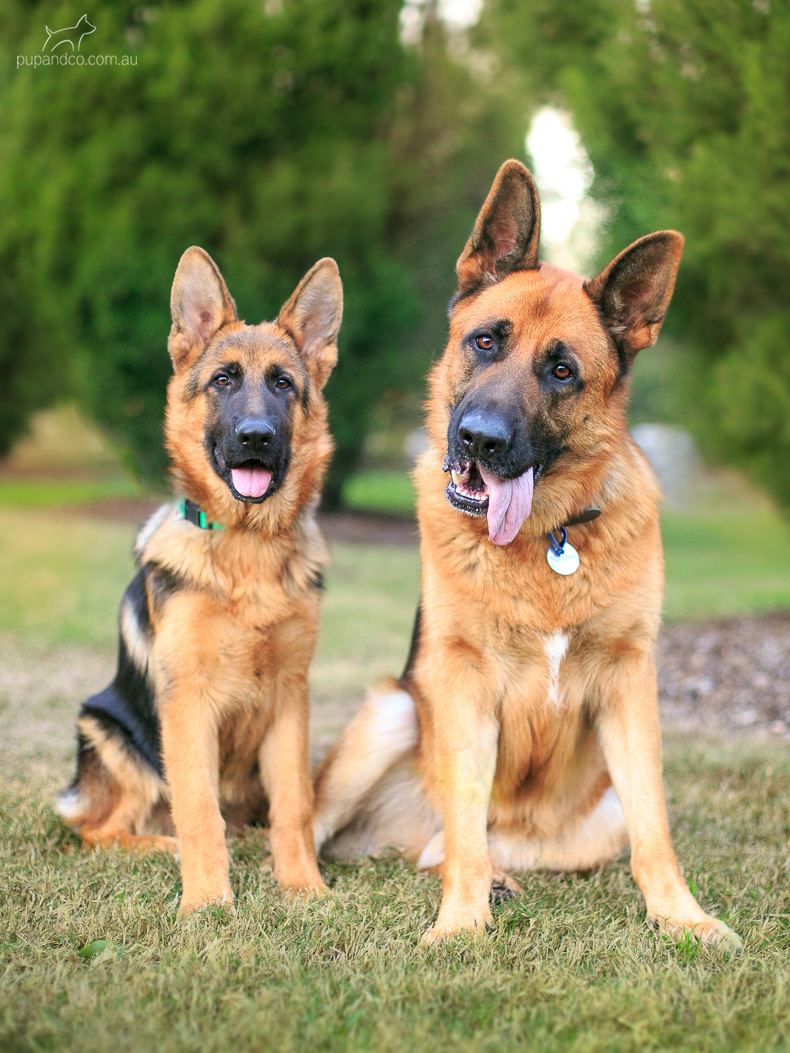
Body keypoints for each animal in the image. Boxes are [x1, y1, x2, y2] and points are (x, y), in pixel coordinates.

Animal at [55, 246, 341, 914]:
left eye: (283, 384)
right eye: (224, 380)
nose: (256, 436)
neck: (247, 549)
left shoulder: (290, 699)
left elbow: (295, 804)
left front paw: (303, 885)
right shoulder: (188, 702)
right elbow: (198, 807)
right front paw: (208, 900)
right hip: (109, 730)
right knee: (100, 830)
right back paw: (158, 846)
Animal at [316, 160, 741, 951]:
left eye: (562, 371)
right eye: (485, 342)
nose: (479, 439)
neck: (549, 538)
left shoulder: (629, 681)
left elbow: (655, 827)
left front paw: (682, 916)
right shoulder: (460, 682)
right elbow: (465, 831)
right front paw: (460, 925)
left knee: (447, 849)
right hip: (392, 711)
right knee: (341, 828)